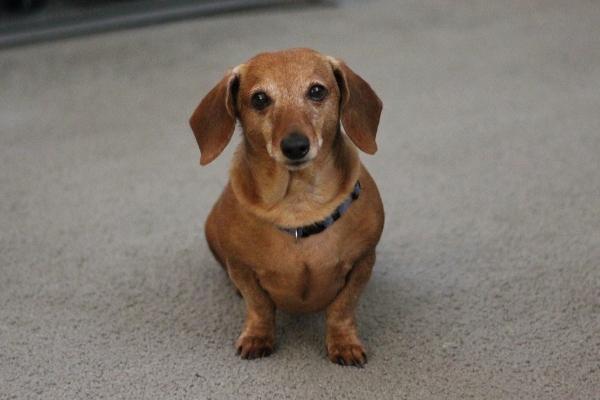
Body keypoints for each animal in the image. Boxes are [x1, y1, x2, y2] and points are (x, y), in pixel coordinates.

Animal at [189, 48, 384, 368]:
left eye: (316, 91)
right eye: (259, 98)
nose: (294, 146)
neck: (299, 205)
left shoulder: (363, 262)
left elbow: (342, 309)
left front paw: (344, 343)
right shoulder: (241, 268)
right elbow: (259, 307)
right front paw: (257, 337)